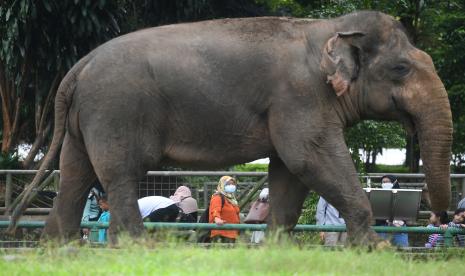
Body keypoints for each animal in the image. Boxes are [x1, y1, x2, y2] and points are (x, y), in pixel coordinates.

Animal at [9, 10, 452, 245]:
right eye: (401, 68)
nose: (438, 216)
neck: (328, 28)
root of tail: (78, 66)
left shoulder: (293, 104)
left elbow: (289, 172)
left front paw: (276, 249)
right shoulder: (300, 95)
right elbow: (309, 157)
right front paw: (377, 250)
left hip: (85, 120)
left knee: (75, 175)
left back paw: (60, 250)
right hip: (115, 110)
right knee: (118, 175)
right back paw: (136, 246)